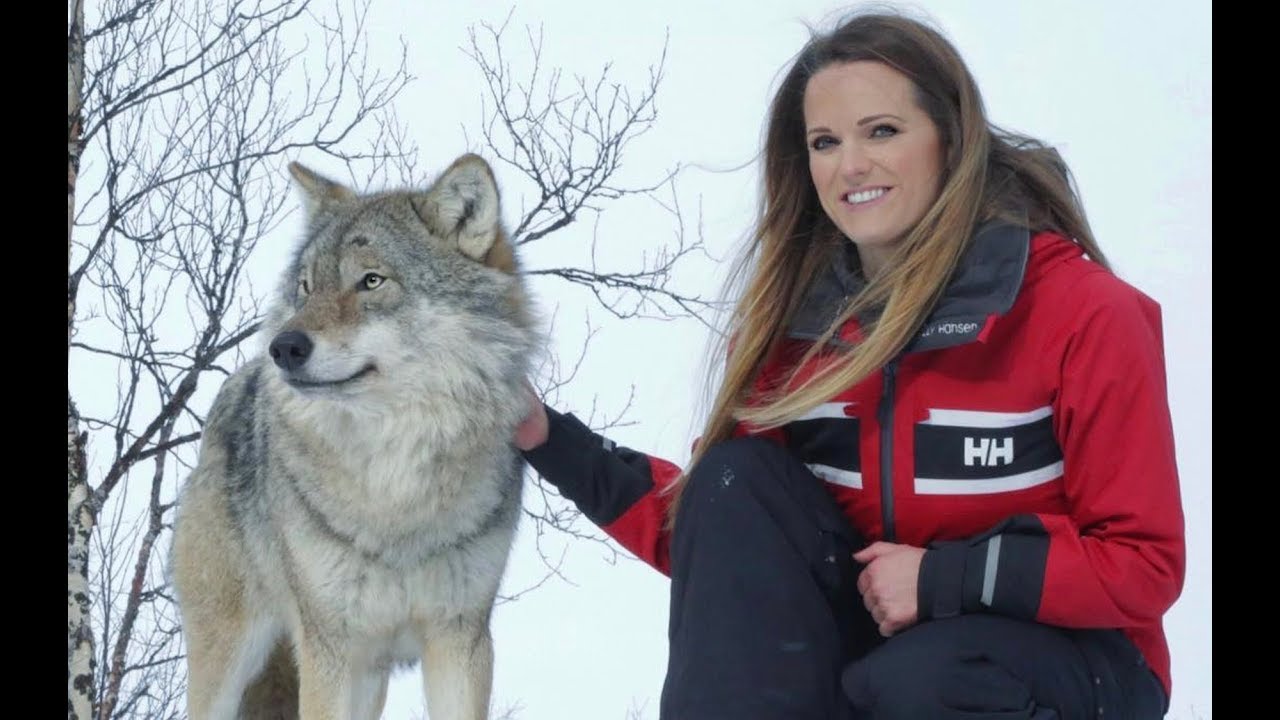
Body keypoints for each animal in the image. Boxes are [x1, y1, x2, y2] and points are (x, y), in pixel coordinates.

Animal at [170, 153, 539, 720]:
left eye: (371, 280)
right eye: (305, 286)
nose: (283, 348)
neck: (395, 483)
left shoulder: (461, 638)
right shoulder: (329, 644)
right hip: (229, 652)